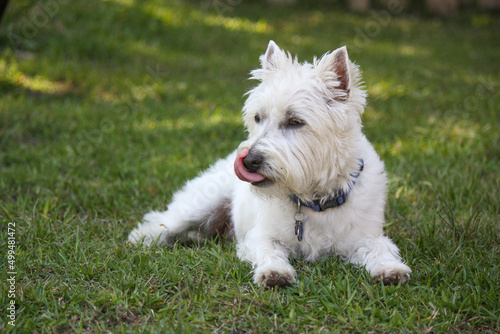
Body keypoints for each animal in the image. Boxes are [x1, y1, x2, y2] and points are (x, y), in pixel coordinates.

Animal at [128, 41, 410, 288]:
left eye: (295, 122)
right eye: (257, 117)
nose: (248, 160)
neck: (313, 200)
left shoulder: (365, 236)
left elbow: (380, 248)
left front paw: (390, 269)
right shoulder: (259, 236)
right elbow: (269, 250)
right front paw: (274, 272)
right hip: (200, 205)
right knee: (163, 220)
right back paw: (142, 238)